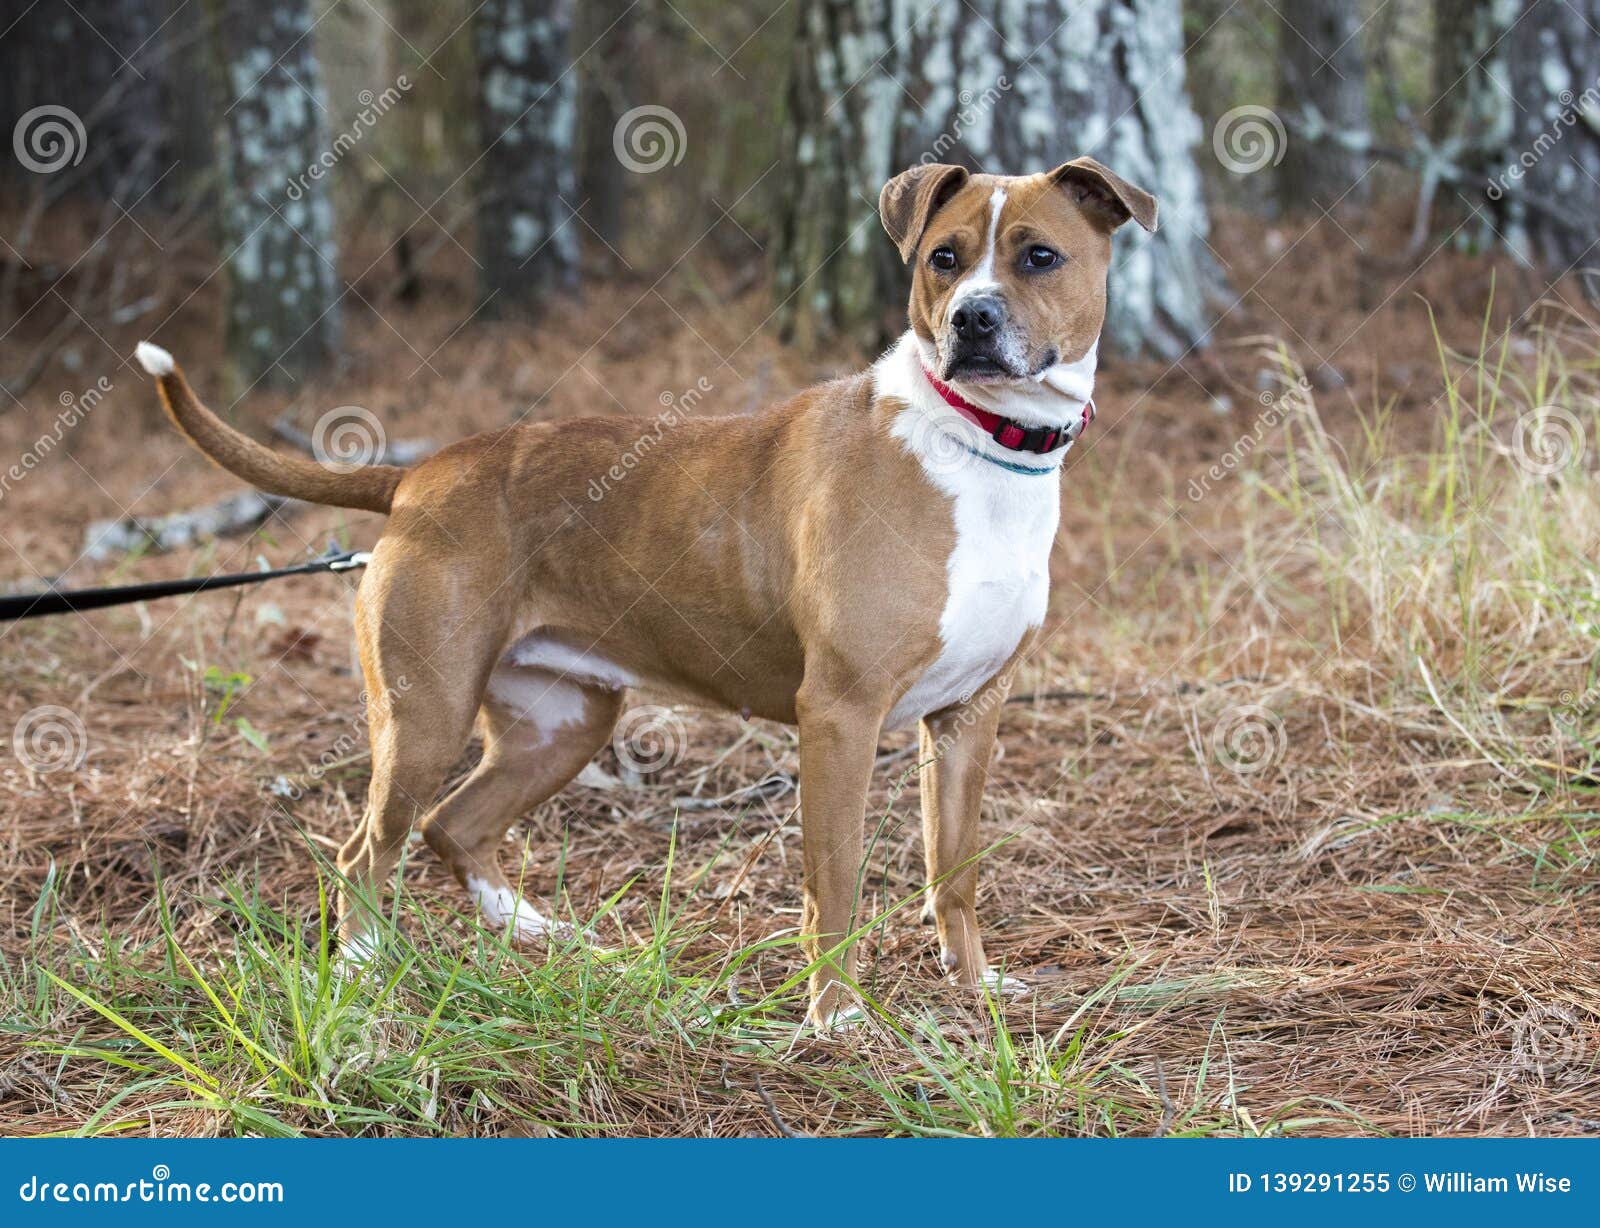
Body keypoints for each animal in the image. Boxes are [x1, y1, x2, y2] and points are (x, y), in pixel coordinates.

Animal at [134, 158, 1152, 1023]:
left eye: (1039, 256)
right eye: (944, 257)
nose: (973, 318)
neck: (976, 443)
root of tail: (419, 475)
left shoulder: (969, 718)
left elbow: (957, 871)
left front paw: (977, 988)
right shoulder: (841, 715)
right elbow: (836, 880)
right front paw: (835, 1018)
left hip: (562, 723)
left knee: (452, 825)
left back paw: (531, 929)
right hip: (425, 718)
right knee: (365, 849)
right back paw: (358, 975)